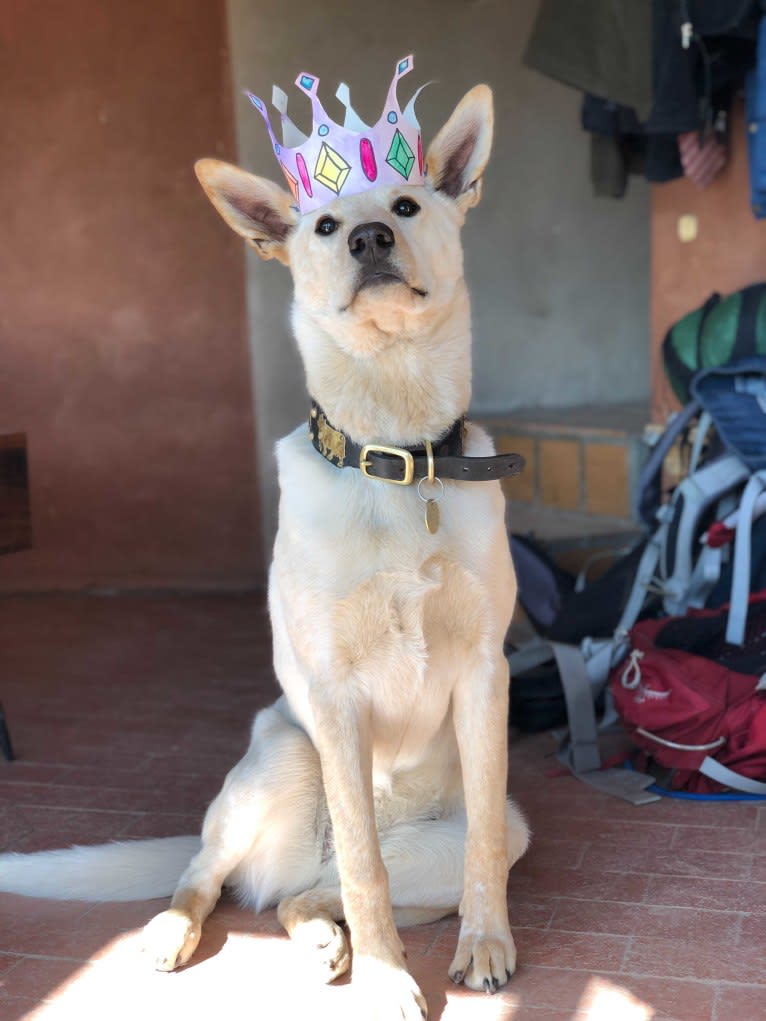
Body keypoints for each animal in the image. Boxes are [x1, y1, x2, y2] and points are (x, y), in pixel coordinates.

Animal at [0, 59, 527, 1016]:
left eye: (405, 206)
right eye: (323, 224)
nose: (367, 238)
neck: (396, 457)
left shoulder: (485, 675)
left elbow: (461, 863)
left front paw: (484, 946)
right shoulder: (331, 695)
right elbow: (362, 866)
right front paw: (389, 979)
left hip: (499, 823)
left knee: (303, 893)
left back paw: (321, 937)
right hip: (282, 752)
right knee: (221, 871)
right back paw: (176, 931)